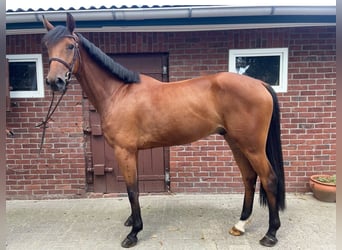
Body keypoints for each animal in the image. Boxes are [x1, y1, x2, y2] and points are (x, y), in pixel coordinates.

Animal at [41, 13, 284, 248]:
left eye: (70, 46)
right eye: (47, 47)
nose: (55, 81)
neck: (118, 93)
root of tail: (259, 84)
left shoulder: (124, 151)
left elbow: (131, 190)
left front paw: (134, 232)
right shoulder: (132, 152)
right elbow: (135, 188)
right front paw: (132, 222)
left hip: (252, 147)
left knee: (269, 178)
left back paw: (270, 234)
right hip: (236, 142)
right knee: (249, 177)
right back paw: (240, 224)